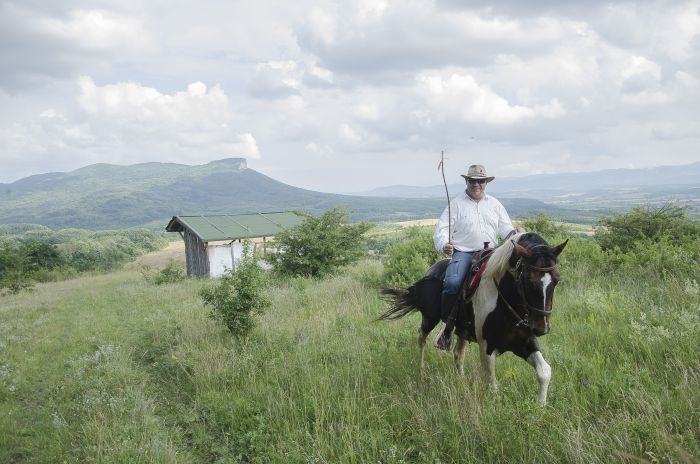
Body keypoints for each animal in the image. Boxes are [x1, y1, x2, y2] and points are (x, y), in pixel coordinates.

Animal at [380, 234, 568, 404]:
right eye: (528, 280)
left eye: (557, 279)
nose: (542, 328)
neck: (503, 299)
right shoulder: (487, 348)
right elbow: (492, 385)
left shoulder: (525, 342)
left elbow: (544, 372)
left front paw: (540, 408)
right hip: (429, 318)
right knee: (421, 339)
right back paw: (421, 372)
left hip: (461, 330)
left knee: (458, 354)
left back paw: (461, 381)